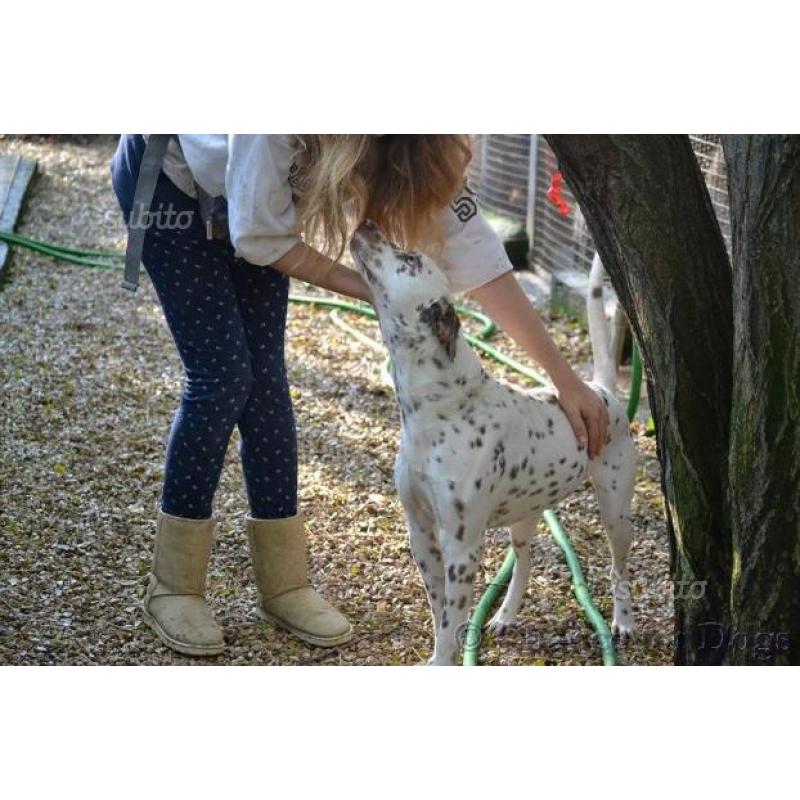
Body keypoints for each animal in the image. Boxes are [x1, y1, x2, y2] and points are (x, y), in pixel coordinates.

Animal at [352, 219, 636, 664]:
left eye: (410, 259)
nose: (366, 222)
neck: (442, 408)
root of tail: (600, 391)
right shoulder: (420, 532)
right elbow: (439, 612)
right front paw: (443, 653)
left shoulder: (462, 547)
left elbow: (450, 619)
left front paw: (444, 662)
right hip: (525, 514)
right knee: (524, 562)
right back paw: (505, 614)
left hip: (615, 512)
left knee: (618, 568)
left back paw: (623, 621)